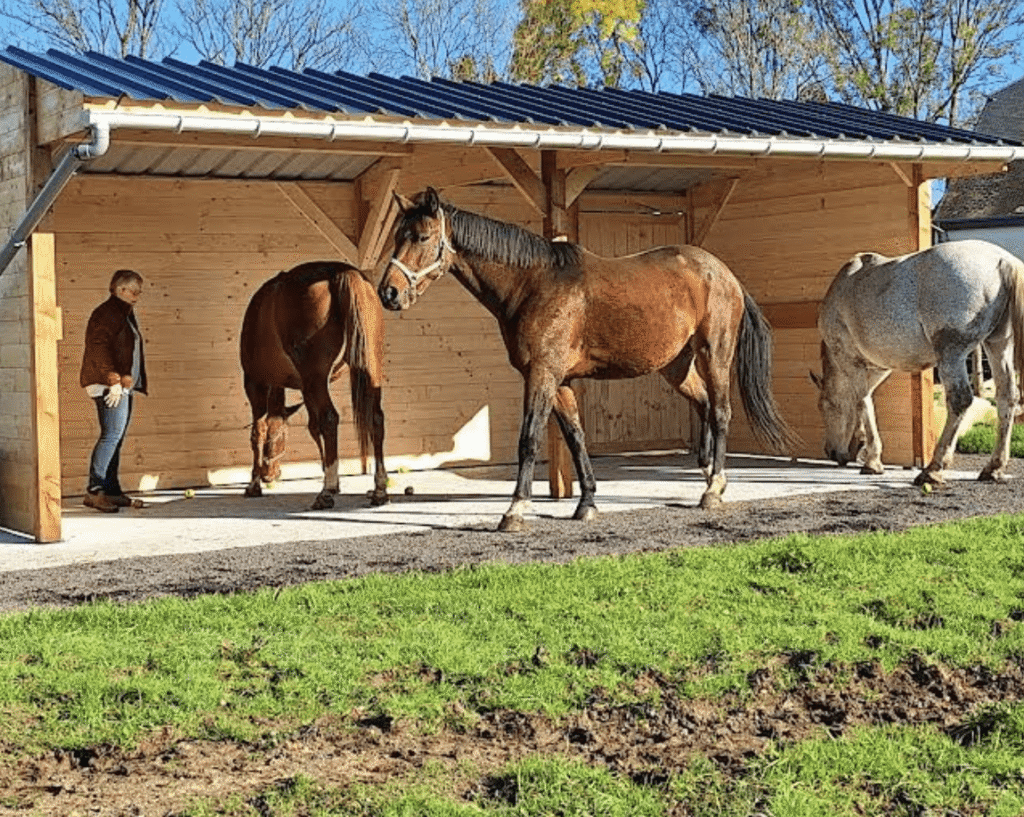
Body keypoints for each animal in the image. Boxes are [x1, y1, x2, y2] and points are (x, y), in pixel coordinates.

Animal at [240, 261, 389, 509]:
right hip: (369, 367)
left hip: (316, 378)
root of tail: (338, 272)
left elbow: (257, 432)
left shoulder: (255, 382)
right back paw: (379, 489)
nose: (270, 474)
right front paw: (333, 479)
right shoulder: (305, 386)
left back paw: (325, 493)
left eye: (280, 436)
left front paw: (253, 485)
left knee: (330, 418)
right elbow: (313, 426)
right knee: (375, 417)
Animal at [377, 187, 797, 531]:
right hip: (675, 367)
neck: (534, 284)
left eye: (422, 237)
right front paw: (587, 504)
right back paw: (711, 477)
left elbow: (529, 439)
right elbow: (576, 437)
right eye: (397, 236)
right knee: (706, 405)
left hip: (715, 354)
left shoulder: (542, 375)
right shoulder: (559, 380)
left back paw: (712, 491)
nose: (389, 293)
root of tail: (725, 275)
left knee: (722, 411)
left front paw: (515, 510)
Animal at [811, 239, 1024, 486]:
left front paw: (872, 460)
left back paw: (933, 469)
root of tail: (1003, 260)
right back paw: (994, 467)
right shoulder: (878, 367)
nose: (831, 452)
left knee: (960, 400)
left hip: (951, 354)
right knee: (1007, 397)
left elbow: (861, 402)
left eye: (824, 406)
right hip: (998, 345)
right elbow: (867, 399)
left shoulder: (851, 362)